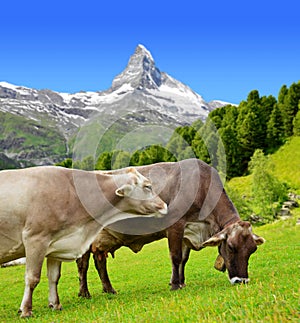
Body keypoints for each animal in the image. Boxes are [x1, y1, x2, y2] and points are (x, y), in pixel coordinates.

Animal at [0, 166, 168, 318]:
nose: (164, 206)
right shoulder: (35, 239)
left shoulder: (55, 244)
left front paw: (55, 304)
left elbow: (54, 277)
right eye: (147, 186)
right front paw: (26, 310)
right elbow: (32, 278)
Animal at [75, 158, 264, 298]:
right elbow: (176, 256)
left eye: (253, 250)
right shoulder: (175, 225)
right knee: (83, 264)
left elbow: (184, 259)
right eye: (231, 247)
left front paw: (181, 282)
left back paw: (109, 289)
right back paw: (84, 293)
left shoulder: (187, 231)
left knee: (100, 261)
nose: (242, 281)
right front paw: (174, 285)